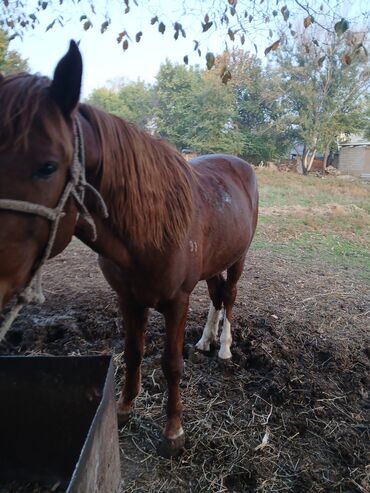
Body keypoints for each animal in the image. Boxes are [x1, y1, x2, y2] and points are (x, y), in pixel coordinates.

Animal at [0, 42, 258, 458]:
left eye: (48, 166)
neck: (150, 232)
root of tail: (240, 165)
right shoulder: (127, 298)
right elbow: (133, 352)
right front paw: (123, 409)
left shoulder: (177, 301)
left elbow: (171, 364)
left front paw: (173, 432)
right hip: (213, 263)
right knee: (217, 296)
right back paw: (205, 340)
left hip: (238, 259)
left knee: (230, 296)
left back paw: (223, 348)